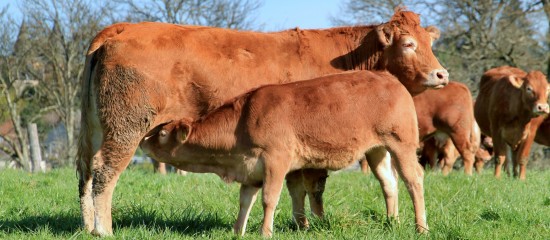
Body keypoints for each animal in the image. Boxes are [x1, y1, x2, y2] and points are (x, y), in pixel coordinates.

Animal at [140, 71, 430, 236]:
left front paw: (264, 232)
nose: (143, 141)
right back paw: (392, 222)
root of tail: (388, 77)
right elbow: (244, 201)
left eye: (162, 133)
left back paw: (421, 227)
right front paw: (237, 231)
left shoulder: (275, 160)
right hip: (377, 150)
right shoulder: (250, 169)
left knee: (413, 180)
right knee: (389, 183)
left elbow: (269, 199)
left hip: (401, 143)